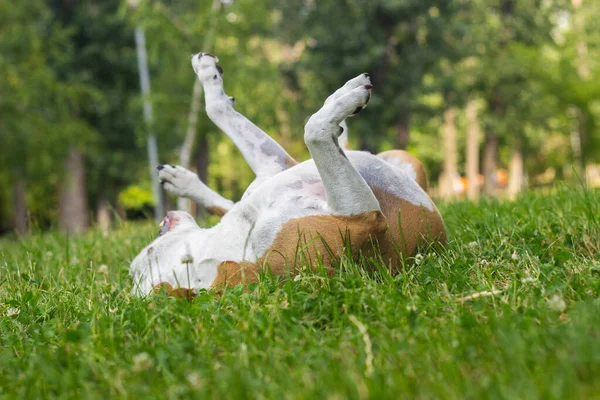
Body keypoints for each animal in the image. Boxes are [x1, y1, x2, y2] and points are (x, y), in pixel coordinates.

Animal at [127, 52, 446, 296]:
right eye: (144, 262)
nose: (131, 266)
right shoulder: (363, 220)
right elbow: (314, 131)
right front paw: (343, 103)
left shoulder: (276, 166)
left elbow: (217, 109)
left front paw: (208, 74)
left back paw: (181, 180)